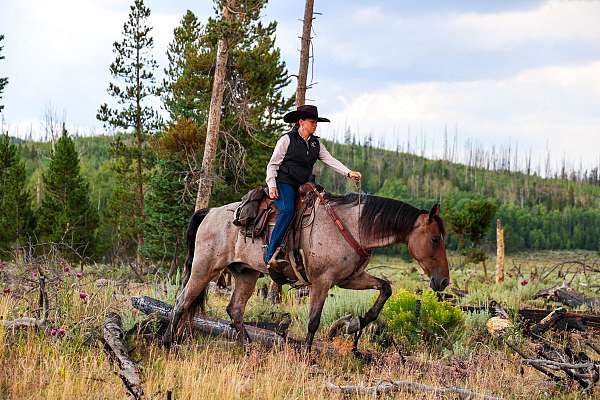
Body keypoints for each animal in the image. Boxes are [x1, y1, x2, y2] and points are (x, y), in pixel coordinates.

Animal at [164, 192, 450, 352]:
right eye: (435, 239)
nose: (444, 281)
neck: (352, 227)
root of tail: (210, 211)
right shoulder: (322, 282)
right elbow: (314, 320)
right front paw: (307, 356)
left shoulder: (349, 279)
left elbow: (386, 287)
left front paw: (358, 322)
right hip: (204, 268)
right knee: (182, 302)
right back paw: (166, 343)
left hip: (245, 273)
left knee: (234, 309)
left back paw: (249, 348)